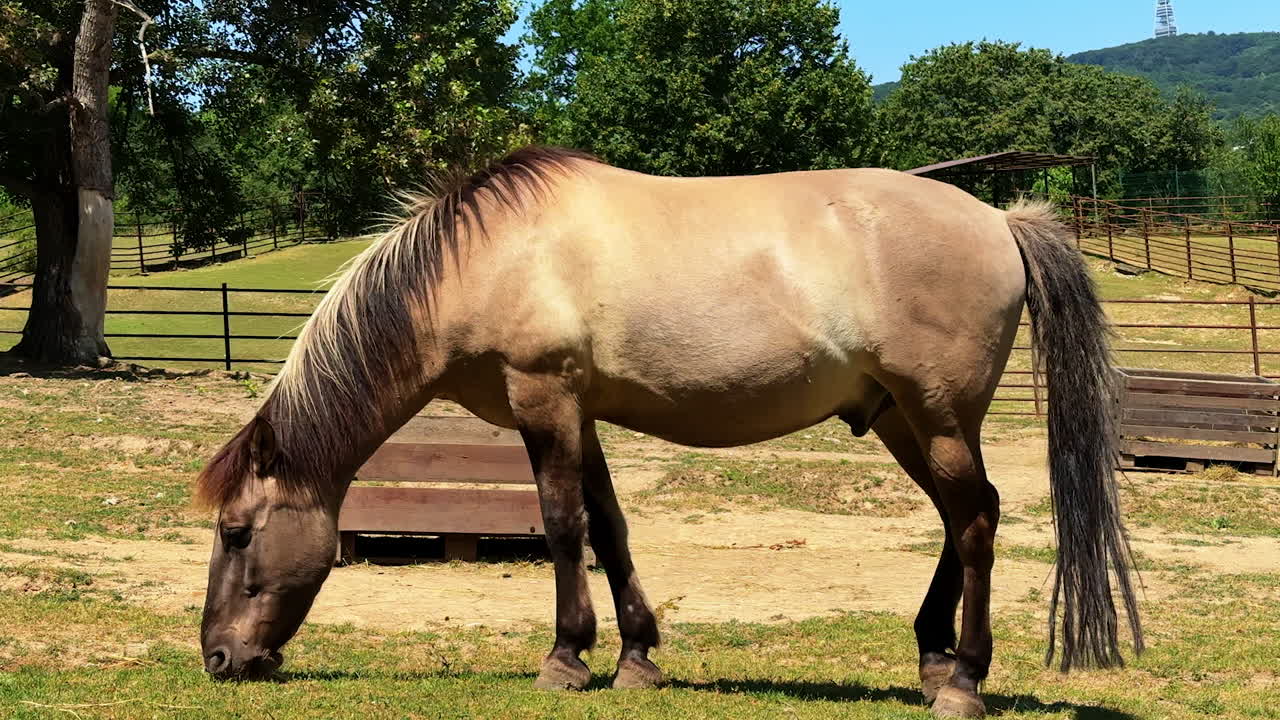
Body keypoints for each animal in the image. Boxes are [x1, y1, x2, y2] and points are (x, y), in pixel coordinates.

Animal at [195, 146, 1141, 717]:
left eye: (238, 532)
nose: (218, 659)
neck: (486, 259)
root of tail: (1000, 221)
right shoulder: (580, 413)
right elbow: (610, 527)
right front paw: (636, 656)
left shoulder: (544, 401)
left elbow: (563, 526)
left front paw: (565, 658)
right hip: (904, 420)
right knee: (963, 516)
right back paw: (934, 656)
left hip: (937, 415)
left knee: (974, 520)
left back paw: (966, 679)